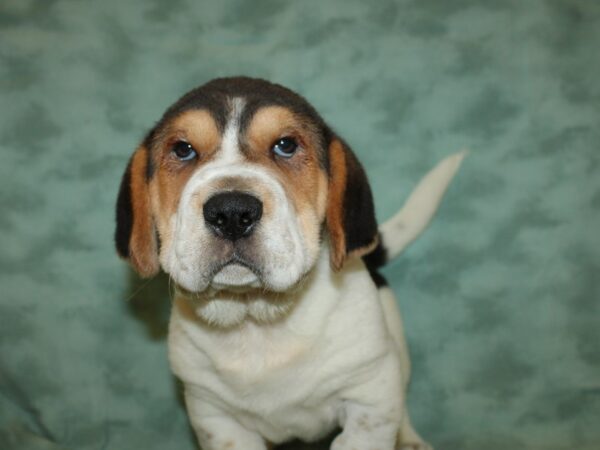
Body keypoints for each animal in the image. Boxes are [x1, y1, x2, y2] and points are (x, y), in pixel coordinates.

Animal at [116, 77, 464, 450]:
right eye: (183, 150)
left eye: (285, 145)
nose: (231, 213)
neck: (257, 321)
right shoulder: (216, 416)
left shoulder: (370, 395)